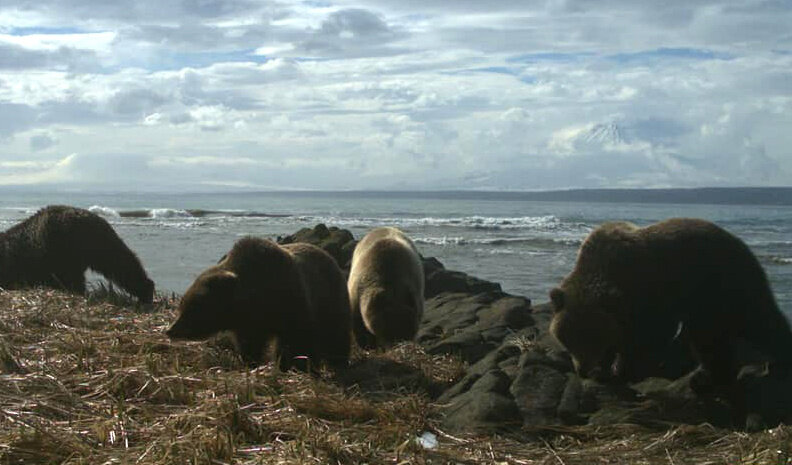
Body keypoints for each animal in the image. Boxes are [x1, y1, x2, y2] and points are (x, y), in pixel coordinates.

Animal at [166, 236, 350, 370]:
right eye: (183, 304)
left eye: (193, 307)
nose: (171, 330)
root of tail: (329, 256)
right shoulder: (248, 324)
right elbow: (249, 345)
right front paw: (251, 362)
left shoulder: (292, 302)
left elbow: (296, 341)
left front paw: (292, 365)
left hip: (330, 298)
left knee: (336, 334)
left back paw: (338, 362)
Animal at [552, 218, 792, 392]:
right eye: (568, 336)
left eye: (592, 336)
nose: (582, 370)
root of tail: (740, 243)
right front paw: (604, 369)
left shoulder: (650, 294)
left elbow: (647, 337)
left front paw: (621, 371)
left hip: (719, 284)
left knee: (753, 320)